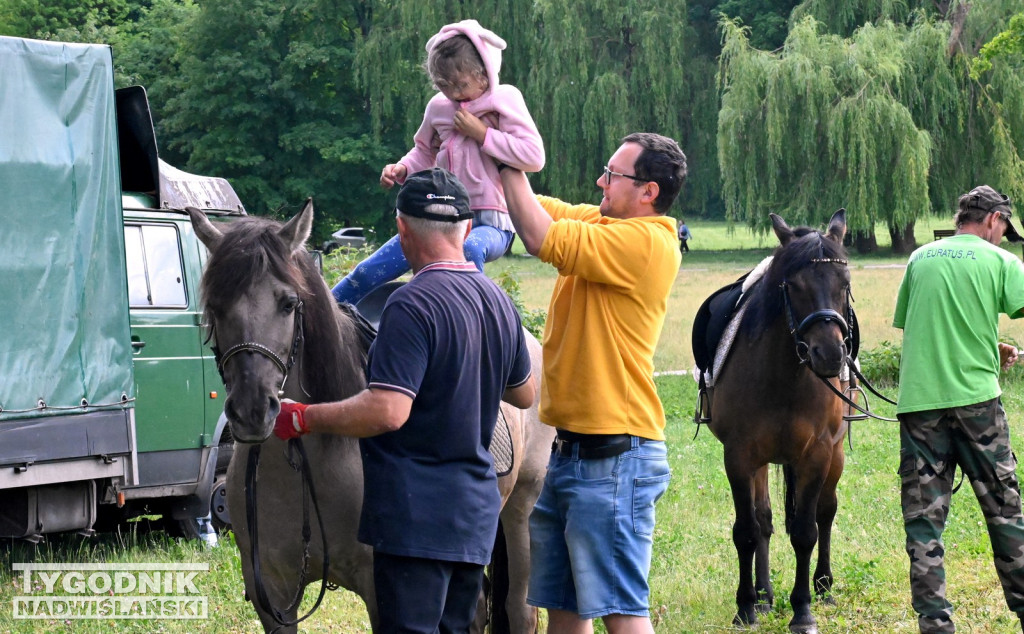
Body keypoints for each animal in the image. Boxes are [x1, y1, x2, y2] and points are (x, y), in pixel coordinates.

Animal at [186, 200, 552, 630]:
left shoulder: (383, 590)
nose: (253, 410)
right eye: (215, 306)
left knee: (519, 609)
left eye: (289, 304)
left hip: (522, 512)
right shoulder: (272, 596)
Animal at [708, 210, 851, 630]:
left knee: (826, 510)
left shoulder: (817, 454)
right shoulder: (739, 456)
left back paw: (823, 586)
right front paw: (746, 606)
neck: (784, 377)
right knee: (765, 520)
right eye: (794, 285)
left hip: (836, 454)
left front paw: (802, 610)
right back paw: (764, 594)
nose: (830, 355)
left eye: (844, 283)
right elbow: (748, 530)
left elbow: (806, 531)